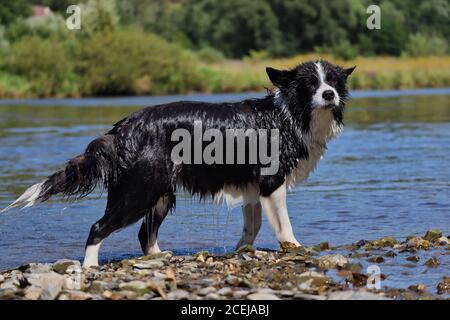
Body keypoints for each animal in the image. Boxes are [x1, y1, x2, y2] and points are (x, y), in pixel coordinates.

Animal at [3, 59, 356, 268]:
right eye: (310, 84)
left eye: (333, 82)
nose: (329, 95)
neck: (288, 116)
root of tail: (121, 130)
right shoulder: (271, 182)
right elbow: (282, 224)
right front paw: (294, 247)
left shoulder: (252, 187)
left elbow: (251, 226)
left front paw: (241, 250)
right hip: (137, 193)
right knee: (98, 227)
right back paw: (89, 266)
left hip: (160, 194)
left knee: (144, 235)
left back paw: (159, 257)